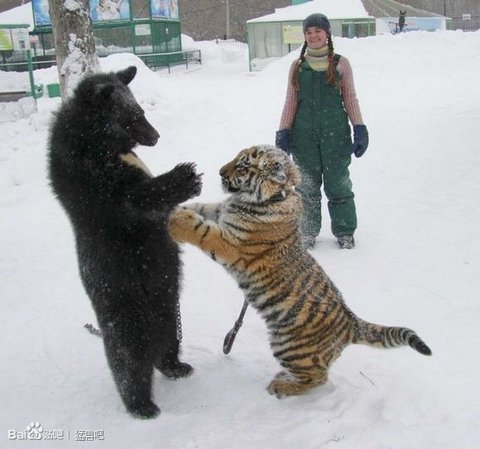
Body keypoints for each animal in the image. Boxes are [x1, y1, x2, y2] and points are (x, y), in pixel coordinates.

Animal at [48, 66, 202, 419]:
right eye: (133, 117)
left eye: (140, 111)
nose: (155, 136)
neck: (103, 146)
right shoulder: (90, 179)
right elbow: (134, 200)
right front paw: (186, 176)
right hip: (123, 309)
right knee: (127, 361)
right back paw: (143, 405)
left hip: (168, 309)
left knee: (168, 342)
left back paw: (177, 366)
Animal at [168, 145, 432, 398]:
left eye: (243, 165)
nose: (221, 172)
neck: (260, 199)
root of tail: (350, 322)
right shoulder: (221, 211)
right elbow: (203, 207)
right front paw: (179, 206)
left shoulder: (233, 245)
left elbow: (203, 231)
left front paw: (176, 220)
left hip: (289, 346)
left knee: (317, 378)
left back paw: (281, 386)